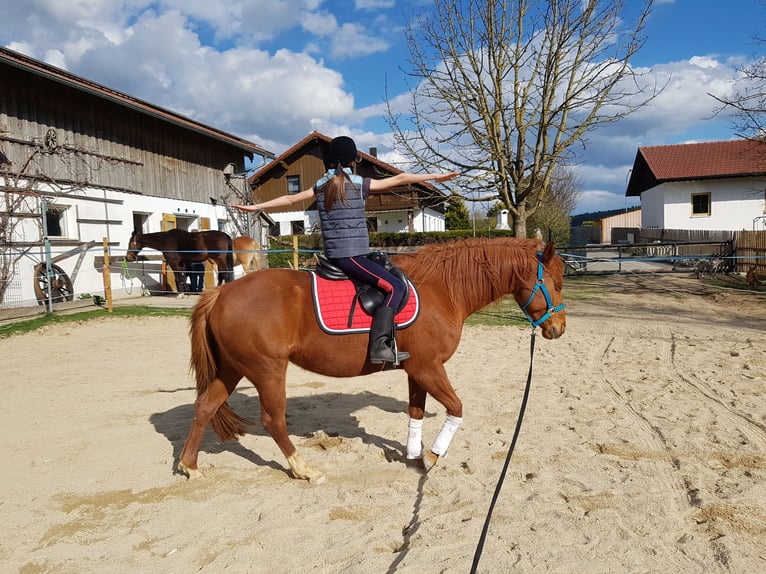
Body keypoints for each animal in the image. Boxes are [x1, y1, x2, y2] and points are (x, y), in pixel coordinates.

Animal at [177, 236, 568, 484]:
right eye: (559, 283)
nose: (559, 328)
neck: (442, 289)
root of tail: (221, 292)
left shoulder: (416, 369)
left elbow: (416, 411)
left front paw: (413, 454)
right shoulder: (429, 367)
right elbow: (456, 408)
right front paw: (432, 456)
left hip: (232, 369)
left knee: (205, 407)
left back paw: (190, 466)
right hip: (267, 371)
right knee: (273, 421)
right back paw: (304, 469)